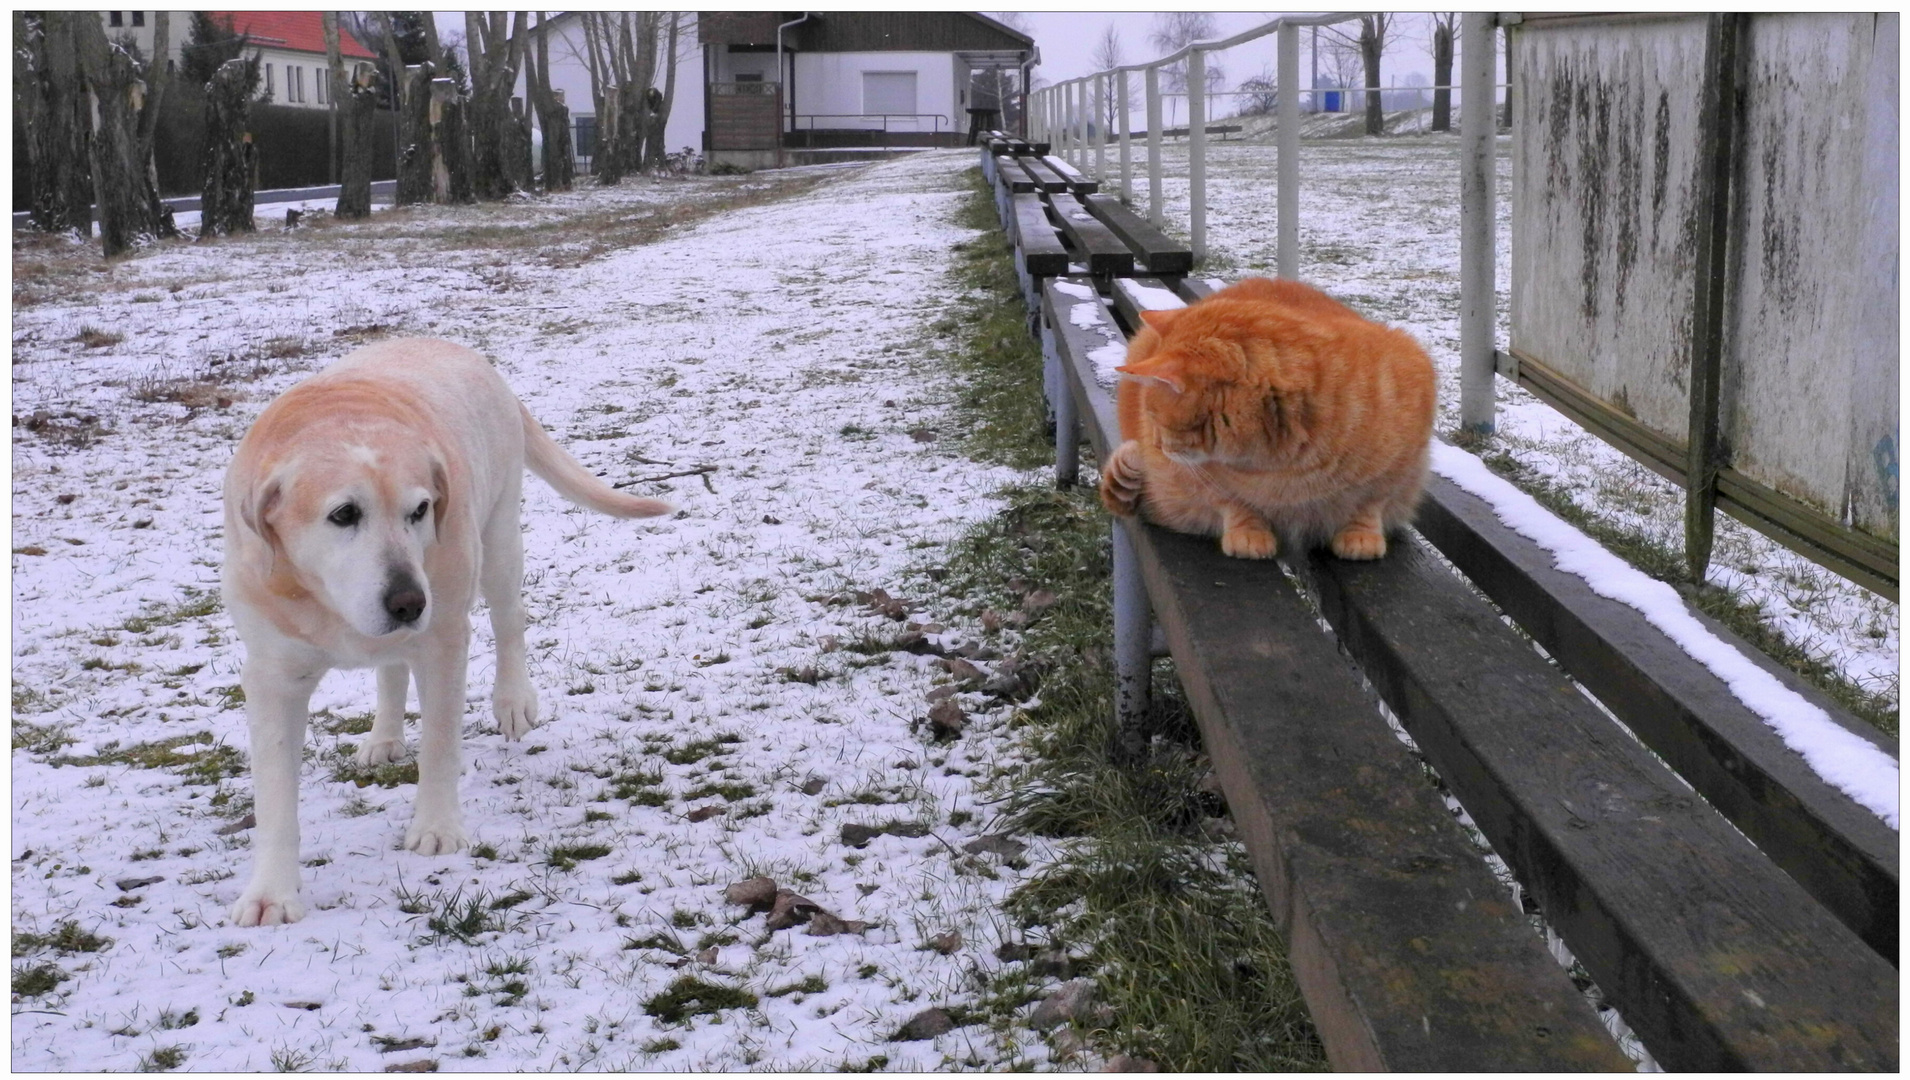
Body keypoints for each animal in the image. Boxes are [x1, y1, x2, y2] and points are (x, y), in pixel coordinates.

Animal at [220, 338, 672, 925]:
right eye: (344, 514)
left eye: (420, 509)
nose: (409, 602)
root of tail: (455, 347)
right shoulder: (273, 675)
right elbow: (275, 796)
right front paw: (272, 894)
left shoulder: (443, 642)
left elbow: (439, 743)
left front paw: (436, 829)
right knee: (391, 669)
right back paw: (384, 737)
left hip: (498, 541)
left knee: (510, 620)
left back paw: (512, 700)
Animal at [1107, 280, 1436, 554]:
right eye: (1147, 416)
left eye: (1156, 417)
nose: (1155, 446)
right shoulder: (1192, 478)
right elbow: (1230, 502)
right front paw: (1248, 532)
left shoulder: (1403, 461)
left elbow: (1372, 501)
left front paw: (1361, 534)